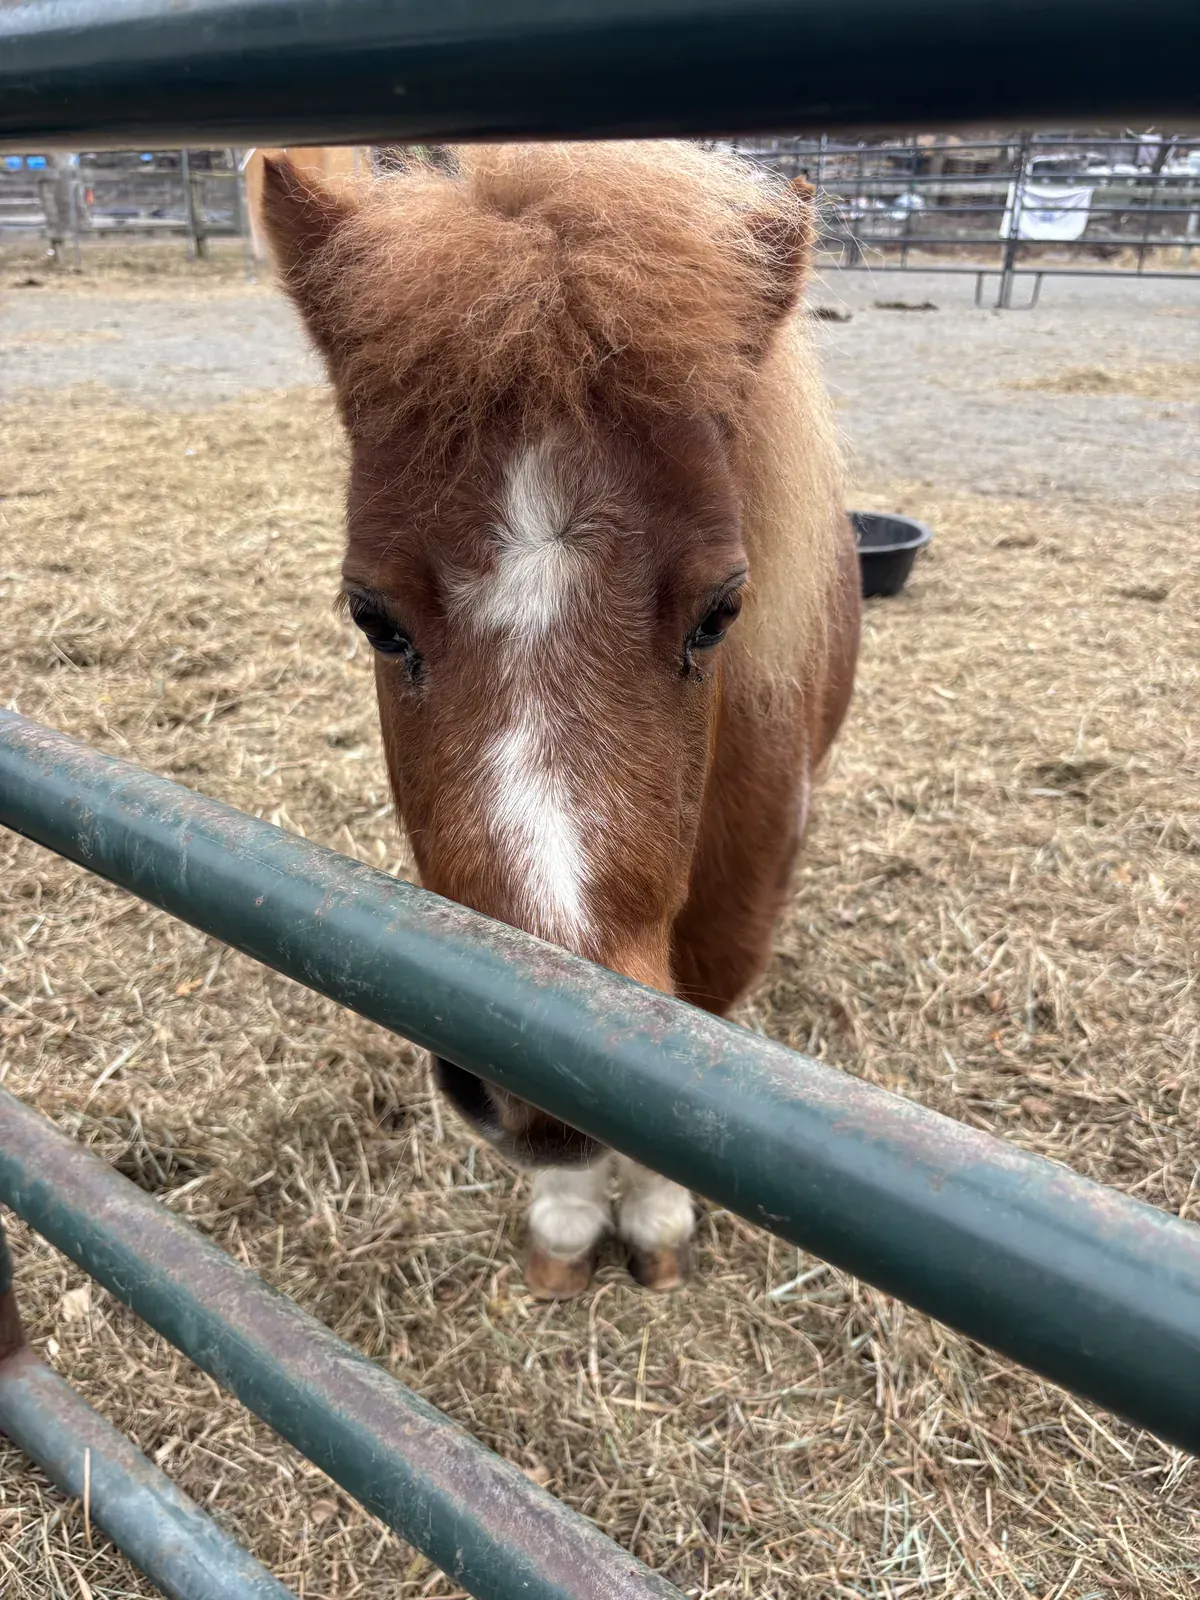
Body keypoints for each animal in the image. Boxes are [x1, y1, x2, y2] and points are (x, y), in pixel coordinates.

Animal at [260, 141, 860, 1299]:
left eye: (722, 611)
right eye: (373, 617)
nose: (539, 1080)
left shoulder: (736, 918)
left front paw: (658, 1217)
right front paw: (573, 1222)